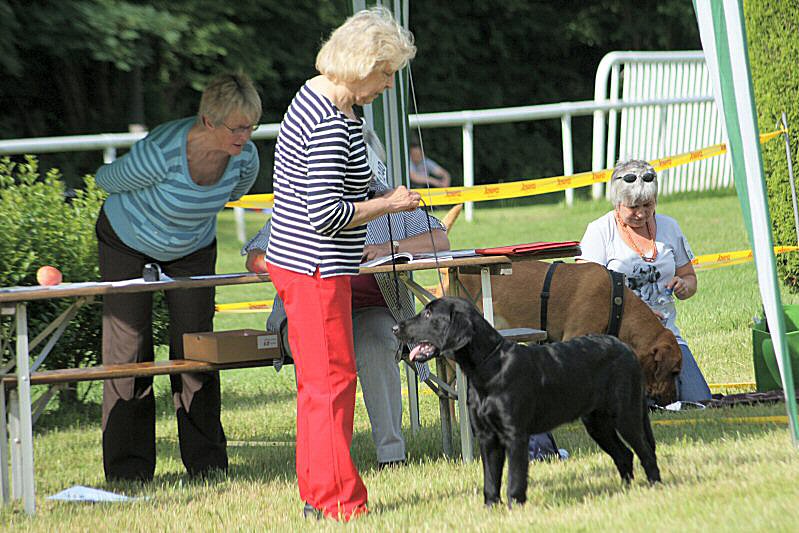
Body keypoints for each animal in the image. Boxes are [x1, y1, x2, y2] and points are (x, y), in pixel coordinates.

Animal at [393, 297, 661, 507]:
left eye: (429, 314)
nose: (396, 327)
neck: (488, 366)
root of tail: (626, 348)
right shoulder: (487, 437)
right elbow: (491, 479)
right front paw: (491, 508)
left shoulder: (515, 435)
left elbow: (515, 477)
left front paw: (515, 507)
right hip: (597, 423)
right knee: (624, 454)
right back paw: (625, 490)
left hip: (626, 415)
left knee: (645, 451)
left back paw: (654, 486)